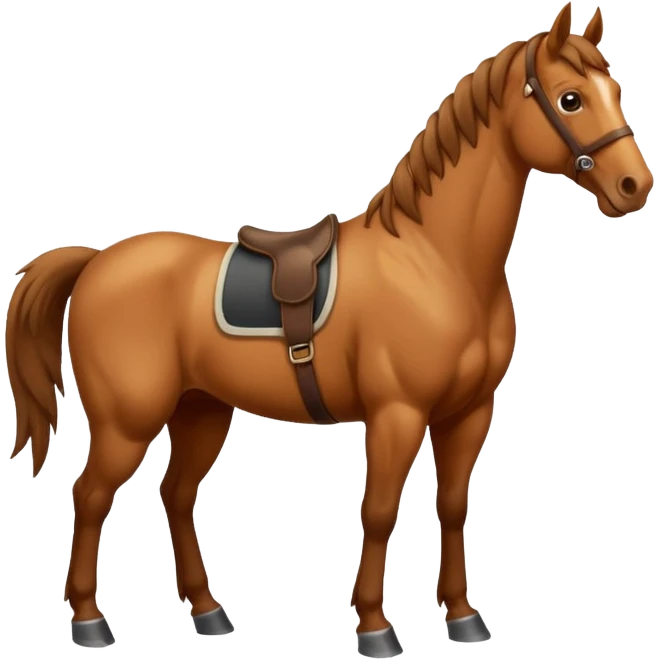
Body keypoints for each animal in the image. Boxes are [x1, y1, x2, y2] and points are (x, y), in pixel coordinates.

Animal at [4, 2, 653, 654]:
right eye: (570, 99)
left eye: (616, 90)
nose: (635, 187)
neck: (435, 261)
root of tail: (96, 262)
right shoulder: (397, 413)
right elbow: (381, 511)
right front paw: (374, 627)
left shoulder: (469, 413)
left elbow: (451, 505)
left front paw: (463, 616)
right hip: (128, 422)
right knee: (90, 496)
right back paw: (89, 620)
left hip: (201, 410)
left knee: (177, 495)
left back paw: (208, 613)